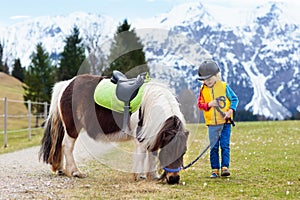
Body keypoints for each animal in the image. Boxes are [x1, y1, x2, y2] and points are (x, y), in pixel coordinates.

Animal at [38, 73, 189, 184]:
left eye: (183, 152)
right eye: (169, 151)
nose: (174, 179)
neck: (151, 104)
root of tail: (66, 84)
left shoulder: (154, 133)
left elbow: (152, 153)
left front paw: (153, 175)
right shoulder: (141, 137)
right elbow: (142, 154)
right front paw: (140, 176)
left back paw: (61, 170)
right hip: (72, 128)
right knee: (67, 146)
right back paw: (75, 172)